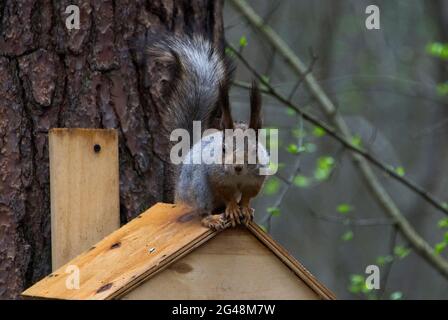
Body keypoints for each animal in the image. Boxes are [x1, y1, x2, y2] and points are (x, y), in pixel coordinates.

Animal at [145, 32, 268, 230]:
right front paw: (233, 208)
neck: (238, 177)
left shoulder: (257, 178)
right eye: (223, 149)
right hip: (198, 187)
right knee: (202, 209)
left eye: (255, 150)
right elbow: (226, 194)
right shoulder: (216, 176)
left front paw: (246, 208)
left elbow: (248, 196)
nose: (237, 167)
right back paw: (211, 218)